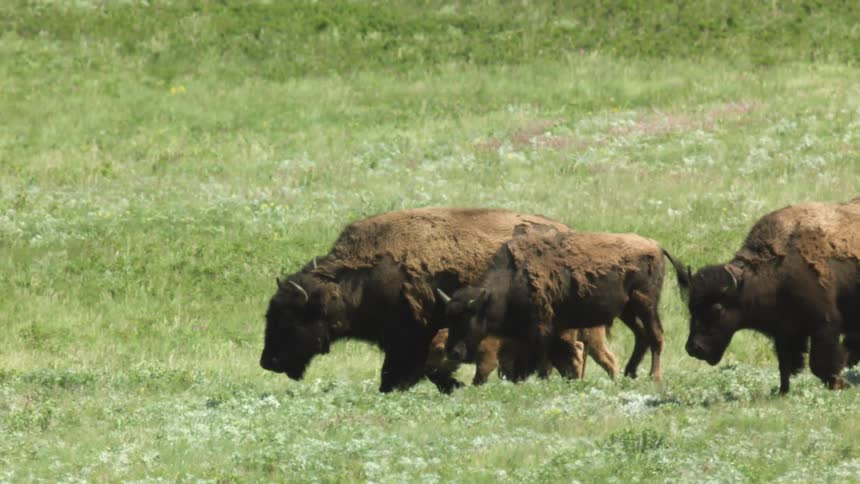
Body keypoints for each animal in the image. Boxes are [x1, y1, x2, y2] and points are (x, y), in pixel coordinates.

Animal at [668, 198, 860, 393]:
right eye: (691, 308)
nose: (694, 348)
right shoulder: (783, 331)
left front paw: (840, 384)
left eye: (717, 308)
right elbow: (785, 365)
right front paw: (782, 391)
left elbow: (819, 364)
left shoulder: (824, 323)